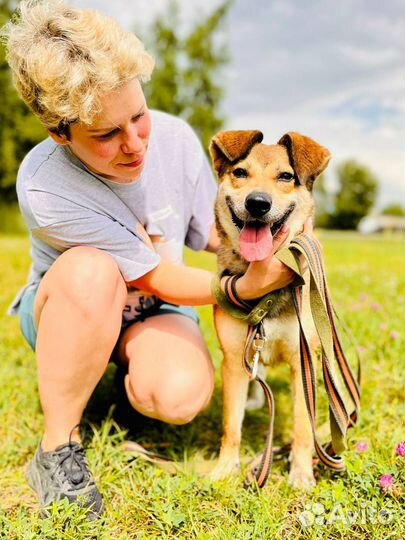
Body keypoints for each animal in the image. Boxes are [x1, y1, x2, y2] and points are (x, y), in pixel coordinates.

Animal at [208, 131, 328, 490]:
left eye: (286, 177)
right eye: (240, 173)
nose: (258, 203)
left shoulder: (303, 360)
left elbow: (303, 427)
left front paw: (300, 473)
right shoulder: (234, 359)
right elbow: (231, 424)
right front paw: (225, 468)